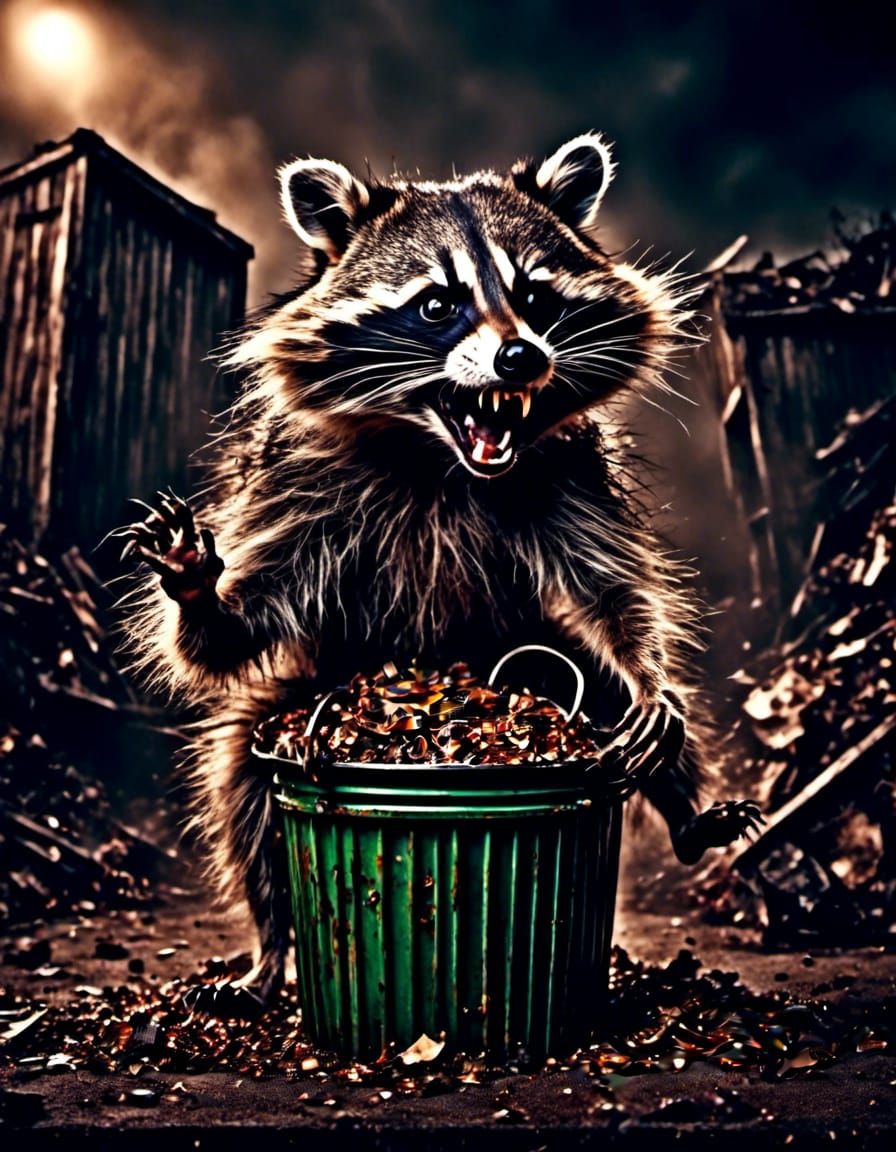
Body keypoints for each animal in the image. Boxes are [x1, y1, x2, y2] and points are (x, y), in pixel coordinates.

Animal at [118, 134, 761, 1003]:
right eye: (436, 305)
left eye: (536, 297)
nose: (521, 357)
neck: (437, 455)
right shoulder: (296, 489)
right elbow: (233, 639)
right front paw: (196, 588)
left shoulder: (569, 476)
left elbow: (613, 592)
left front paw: (648, 669)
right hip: (306, 695)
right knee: (242, 785)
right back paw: (269, 949)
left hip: (537, 663)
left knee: (624, 706)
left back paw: (689, 814)